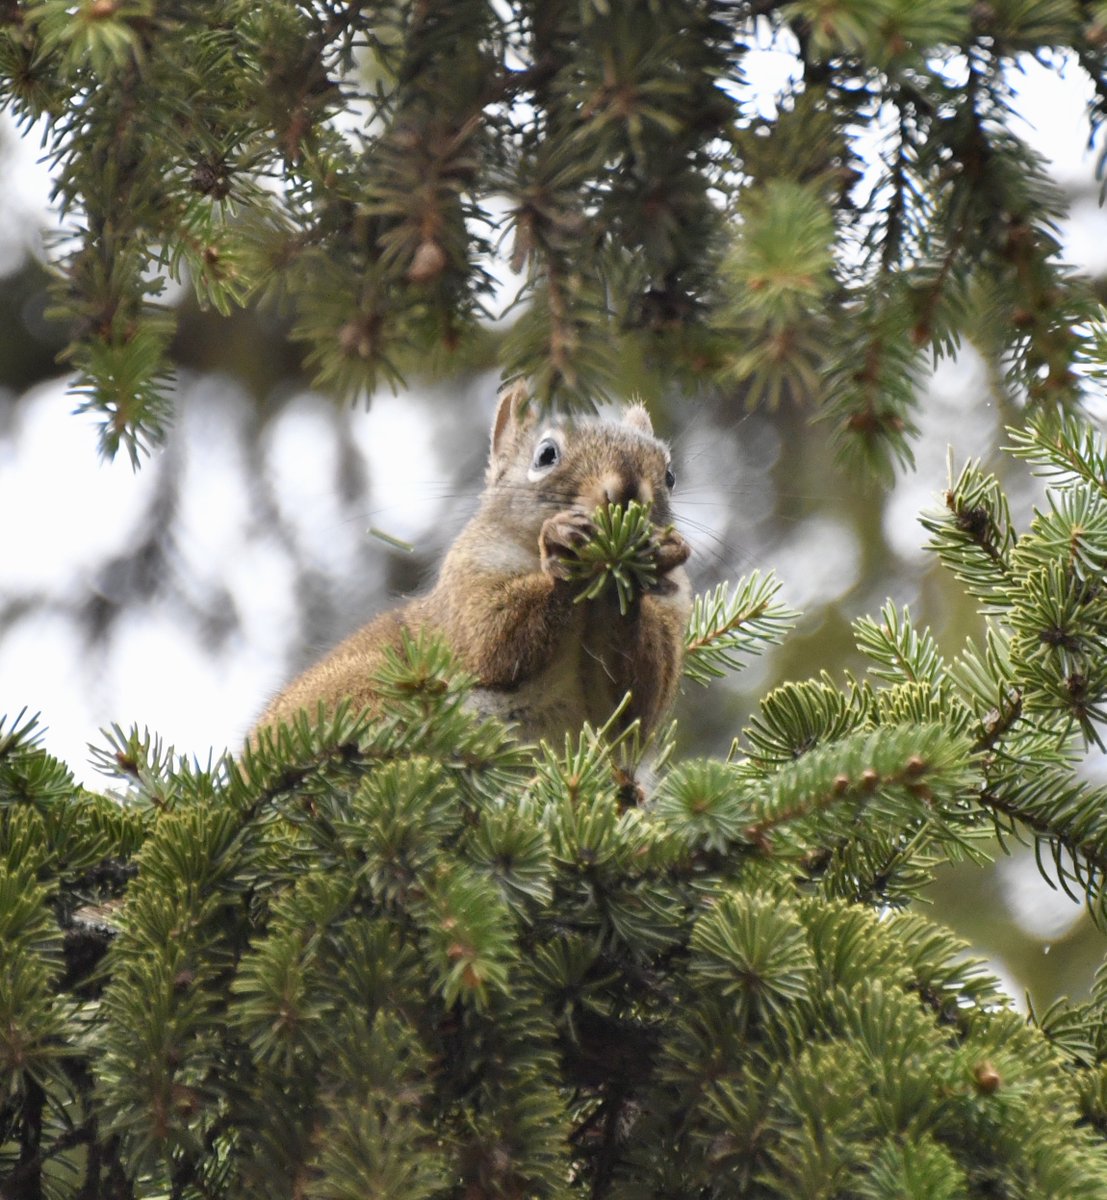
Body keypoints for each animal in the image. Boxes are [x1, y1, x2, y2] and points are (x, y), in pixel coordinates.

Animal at [255, 379, 696, 744]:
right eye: (546, 455)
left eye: (670, 475)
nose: (628, 490)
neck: (596, 597)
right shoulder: (467, 581)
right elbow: (491, 638)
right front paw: (564, 551)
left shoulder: (672, 613)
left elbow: (639, 696)